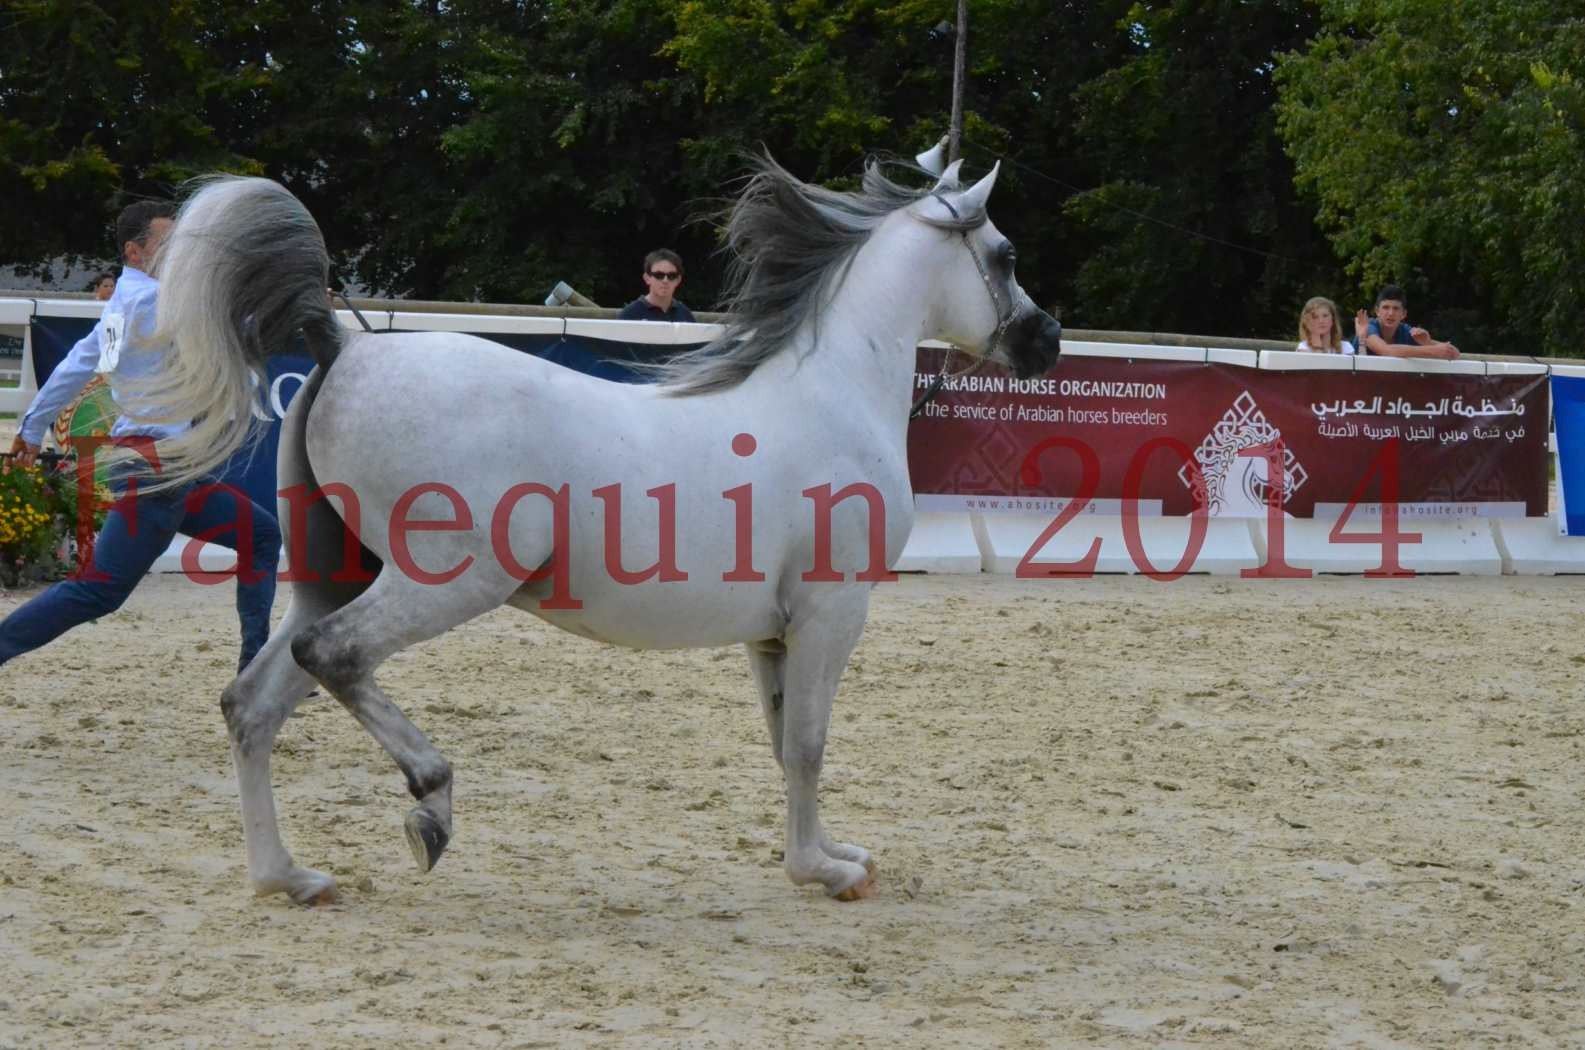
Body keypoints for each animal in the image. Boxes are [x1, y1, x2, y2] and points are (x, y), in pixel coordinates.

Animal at [145, 154, 1065, 907]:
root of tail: (345, 345)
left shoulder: (773, 634)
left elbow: (783, 744)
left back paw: (287, 877)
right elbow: (806, 744)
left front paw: (830, 852)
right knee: (331, 656)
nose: (1047, 341)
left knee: (251, 703)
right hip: (447, 581)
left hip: (333, 575)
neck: (830, 396)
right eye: (1006, 254)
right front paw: (823, 872)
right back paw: (430, 803)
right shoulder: (831, 614)